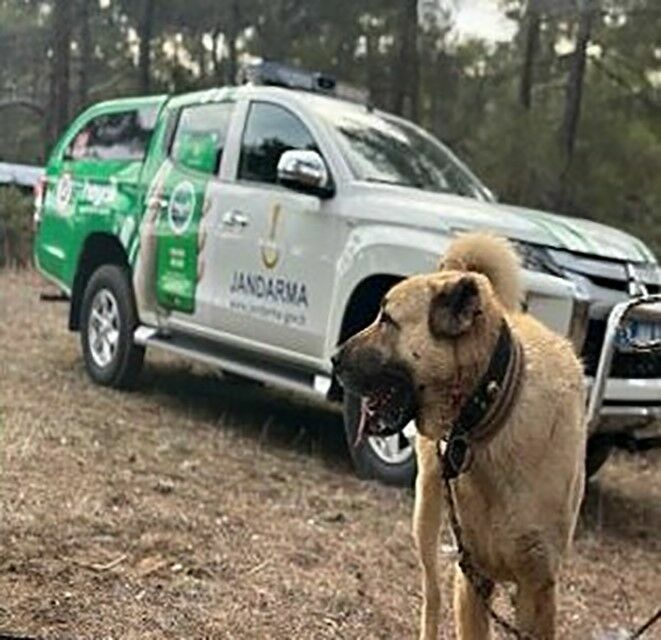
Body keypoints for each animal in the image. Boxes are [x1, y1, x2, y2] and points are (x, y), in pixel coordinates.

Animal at [332, 235, 584, 640]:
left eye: (387, 320)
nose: (334, 359)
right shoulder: (472, 577)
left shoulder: (537, 586)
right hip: (427, 516)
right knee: (431, 598)